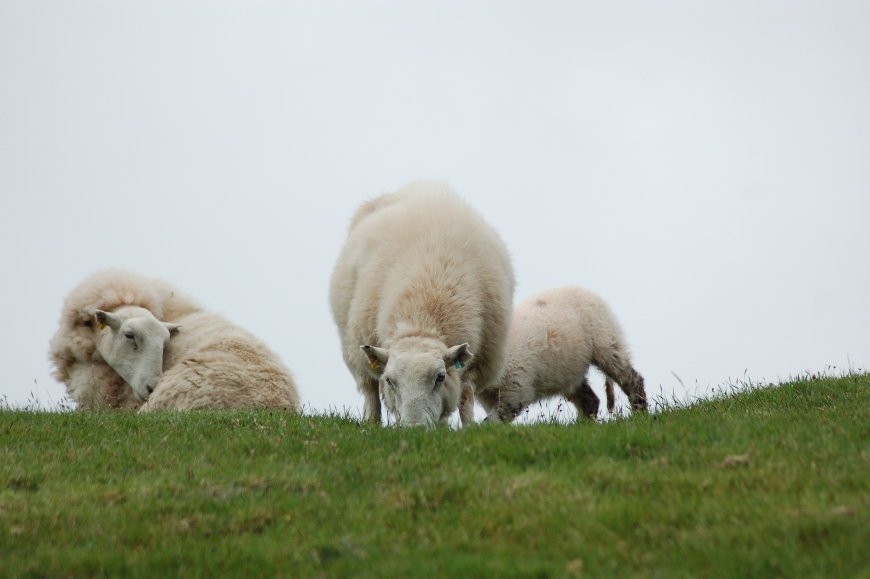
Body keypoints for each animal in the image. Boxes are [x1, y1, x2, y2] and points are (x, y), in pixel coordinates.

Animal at [330, 181, 516, 426]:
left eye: (440, 377)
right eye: (389, 380)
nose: (414, 428)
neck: (424, 314)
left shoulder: (479, 362)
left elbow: (465, 395)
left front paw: (468, 427)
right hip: (354, 349)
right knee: (369, 390)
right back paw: (372, 422)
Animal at [480, 288, 652, 424]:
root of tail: (584, 289)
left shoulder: (516, 386)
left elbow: (494, 419)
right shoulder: (489, 396)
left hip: (606, 340)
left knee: (631, 378)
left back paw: (640, 412)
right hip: (569, 369)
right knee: (590, 399)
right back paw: (583, 426)